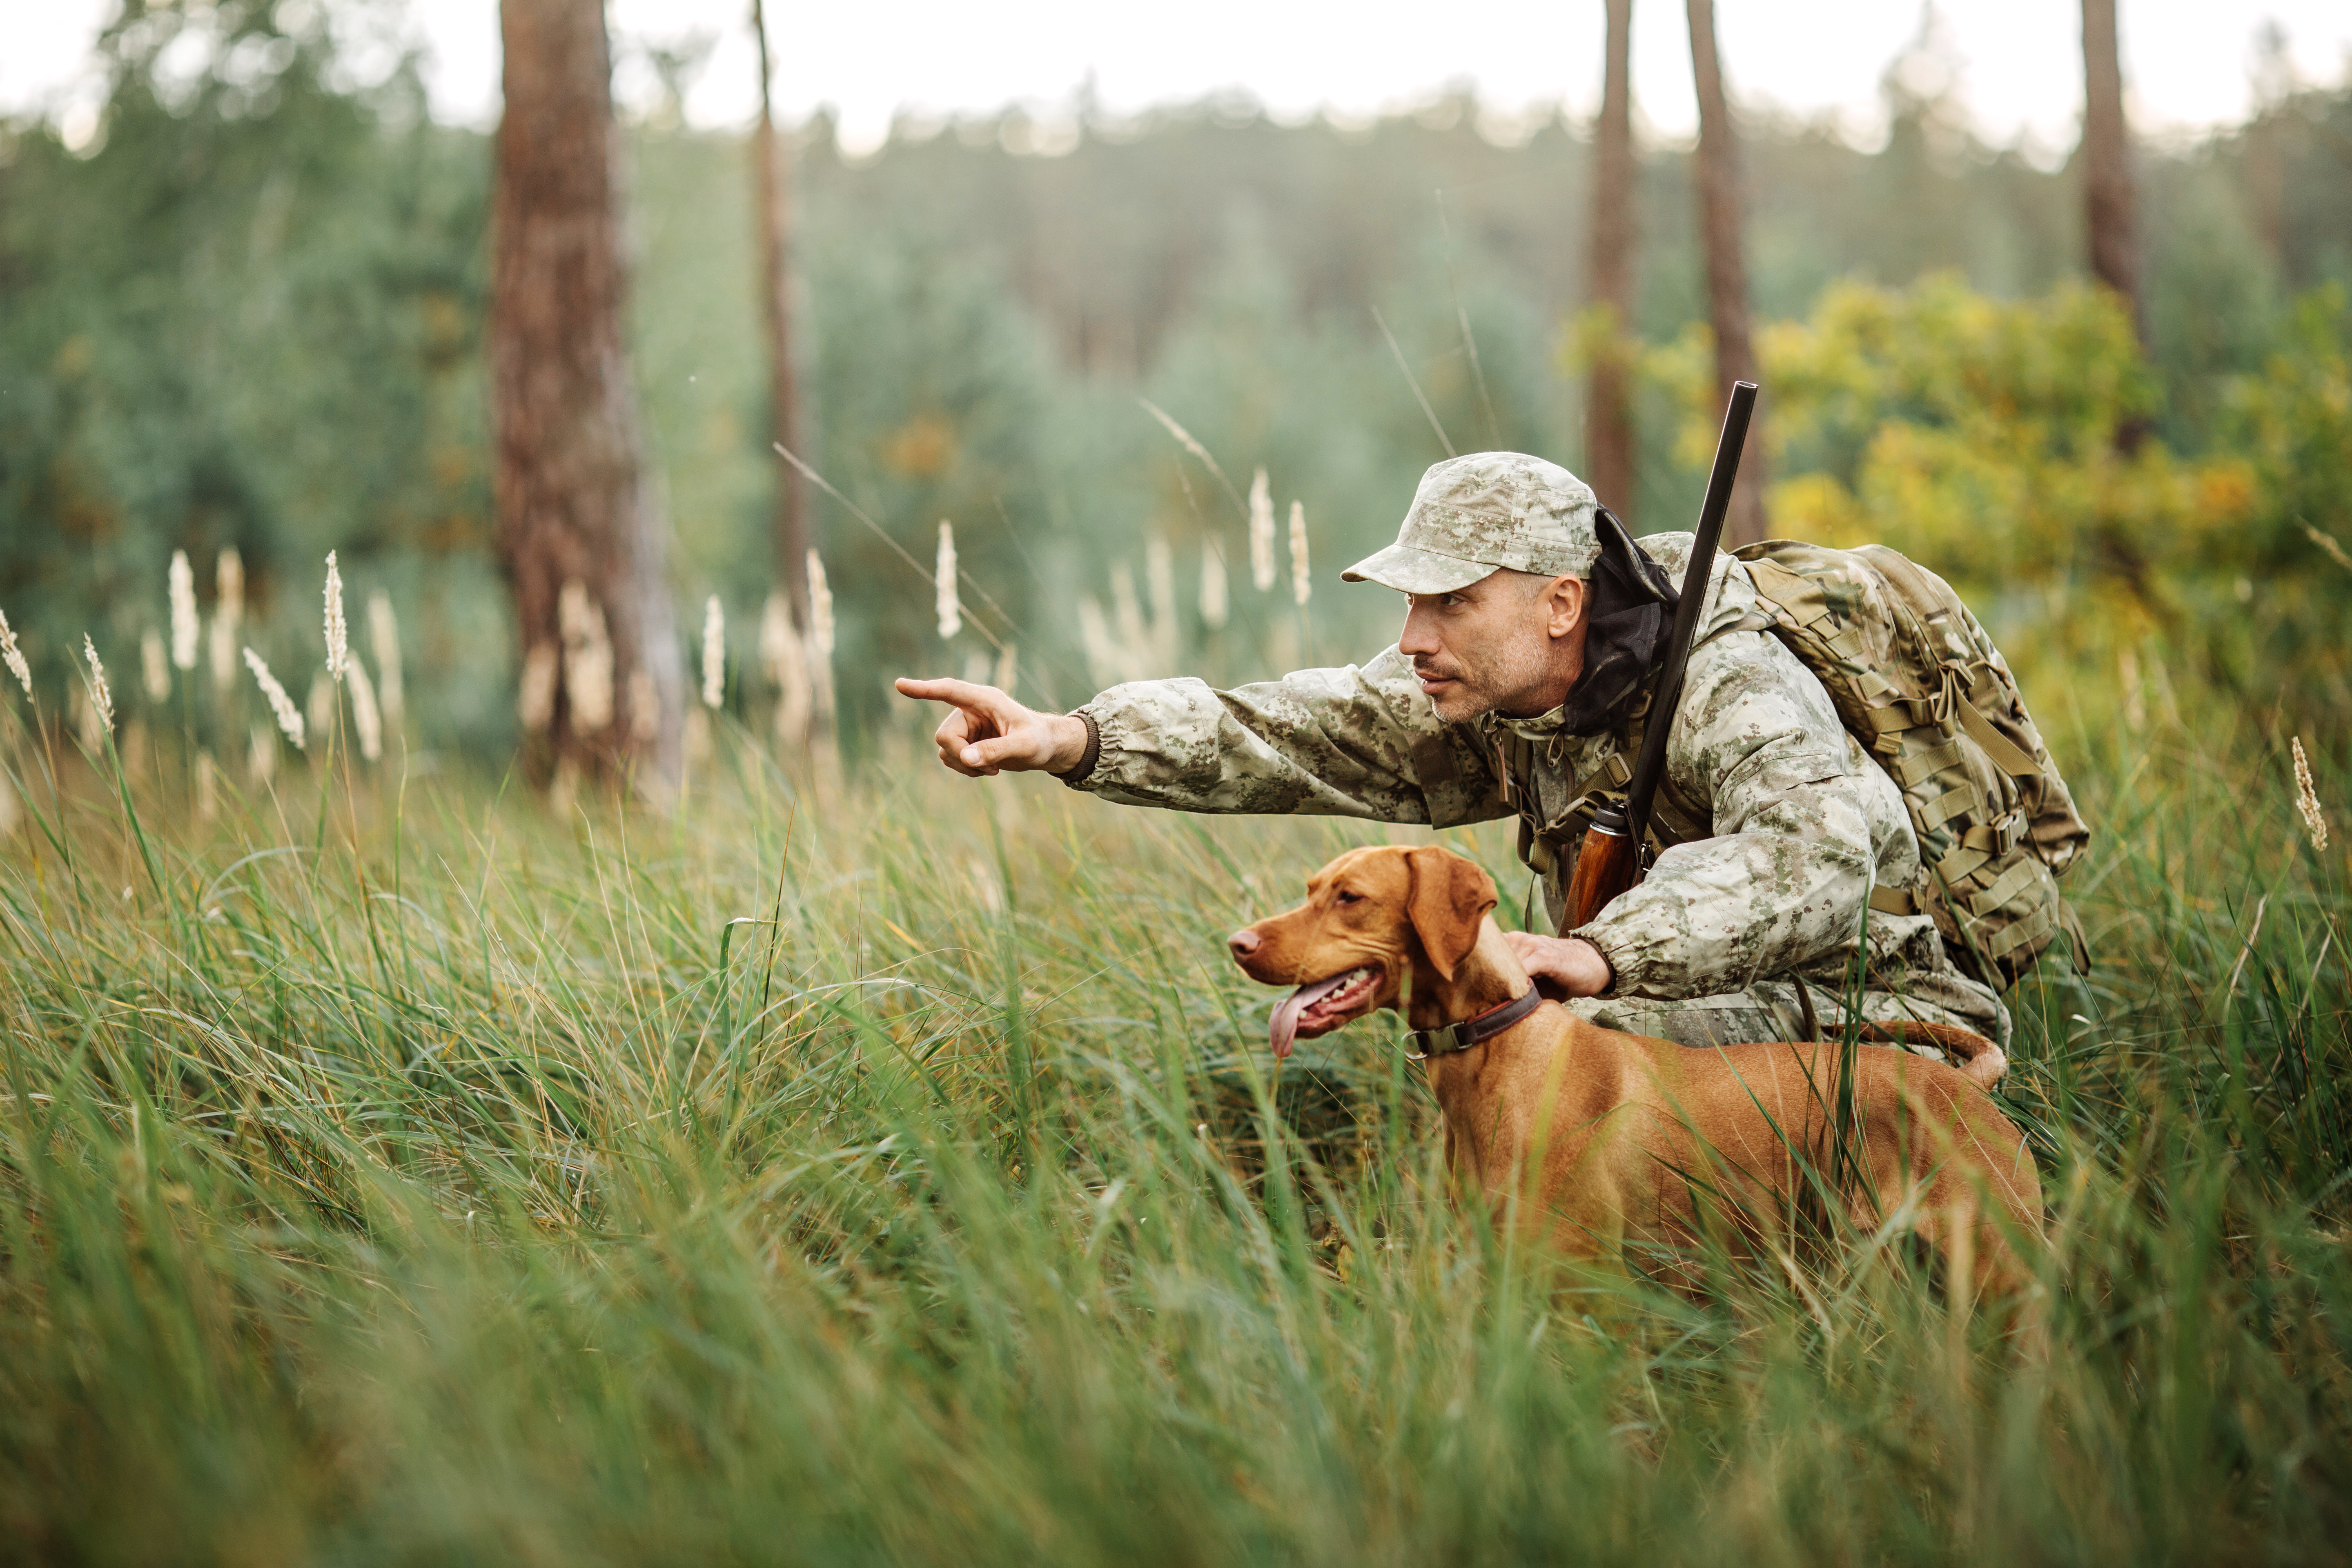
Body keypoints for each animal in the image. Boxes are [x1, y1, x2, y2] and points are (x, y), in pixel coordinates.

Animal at [1232, 846, 2041, 1297]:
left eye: (1351, 897)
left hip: (2000, 1273)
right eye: (1312, 889)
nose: (1239, 944)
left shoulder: (1586, 1286)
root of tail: (1964, 1085)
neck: (1497, 1050)